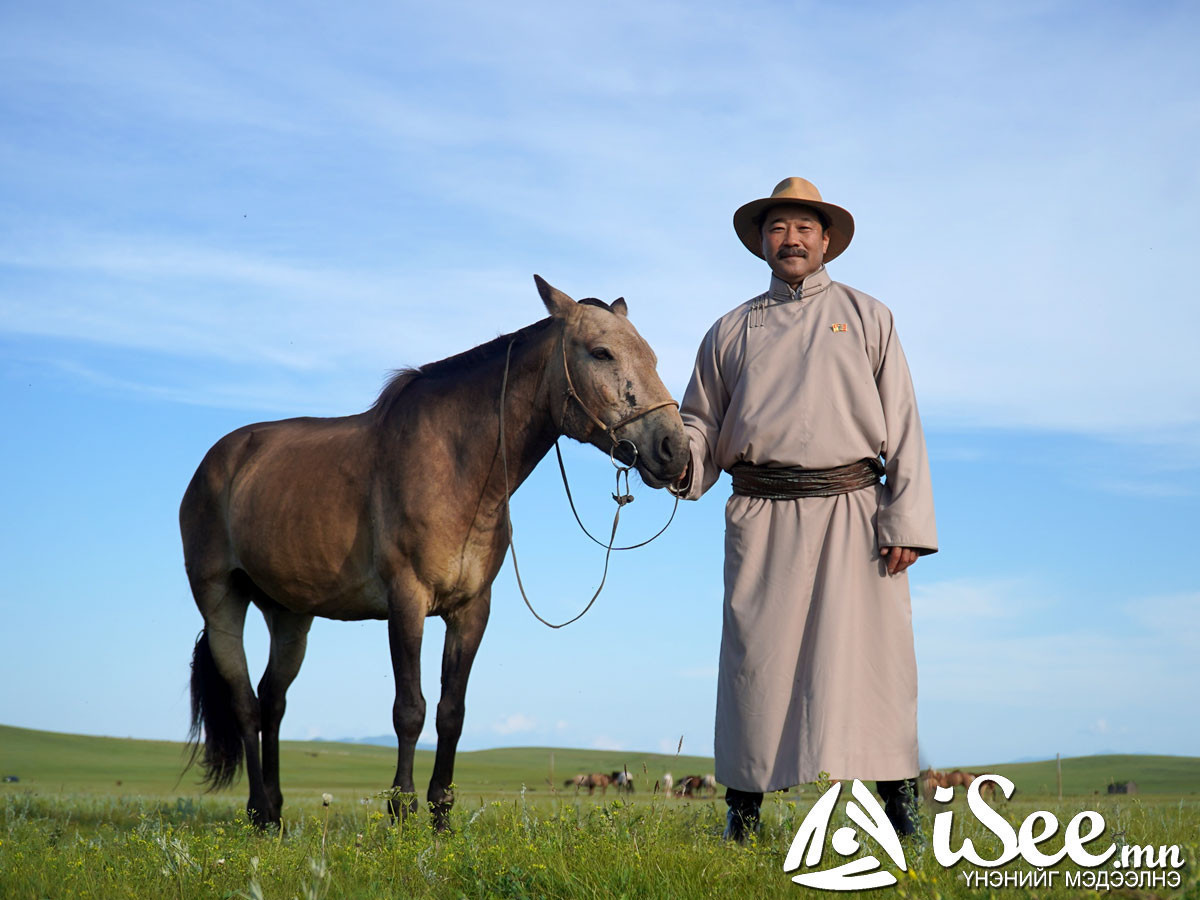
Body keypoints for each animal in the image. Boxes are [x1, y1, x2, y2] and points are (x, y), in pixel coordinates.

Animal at [177, 277, 686, 830]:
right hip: (222, 601)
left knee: (273, 702)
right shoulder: (407, 601)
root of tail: (217, 461)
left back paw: (274, 812)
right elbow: (410, 709)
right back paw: (259, 811)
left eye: (653, 356)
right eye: (601, 352)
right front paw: (402, 810)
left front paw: (441, 816)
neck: (456, 465)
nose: (675, 450)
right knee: (246, 704)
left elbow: (450, 712)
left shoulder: (471, 610)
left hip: (289, 614)